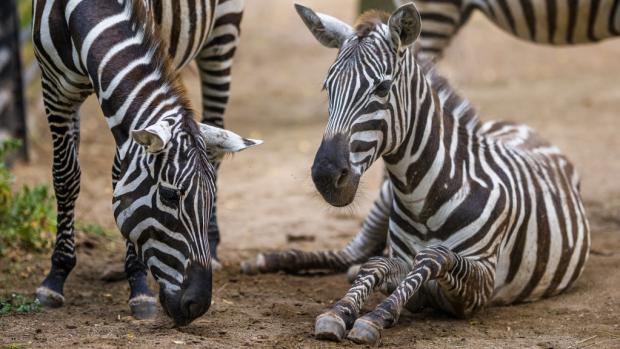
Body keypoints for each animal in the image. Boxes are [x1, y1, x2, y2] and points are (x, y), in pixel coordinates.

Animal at [32, 0, 260, 324]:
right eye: (168, 195)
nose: (198, 306)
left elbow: (118, 177)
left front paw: (138, 285)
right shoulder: (54, 89)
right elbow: (66, 177)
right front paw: (56, 276)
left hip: (223, 33)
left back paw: (213, 245)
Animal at [242, 2, 592, 342]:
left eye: (382, 87)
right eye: (328, 88)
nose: (326, 176)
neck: (424, 196)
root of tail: (517, 126)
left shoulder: (482, 282)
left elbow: (432, 257)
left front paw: (376, 317)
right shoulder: (408, 269)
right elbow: (378, 263)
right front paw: (339, 311)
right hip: (382, 198)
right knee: (351, 253)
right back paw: (268, 260)